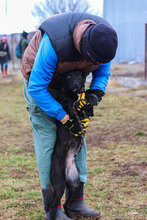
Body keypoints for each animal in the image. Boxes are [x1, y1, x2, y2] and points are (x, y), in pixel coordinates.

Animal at [46, 71, 93, 220]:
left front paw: (91, 97)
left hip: (76, 183)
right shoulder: (70, 110)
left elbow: (87, 109)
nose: (76, 84)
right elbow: (74, 112)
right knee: (53, 205)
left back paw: (72, 216)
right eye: (68, 76)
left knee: (67, 203)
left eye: (79, 75)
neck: (71, 94)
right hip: (59, 184)